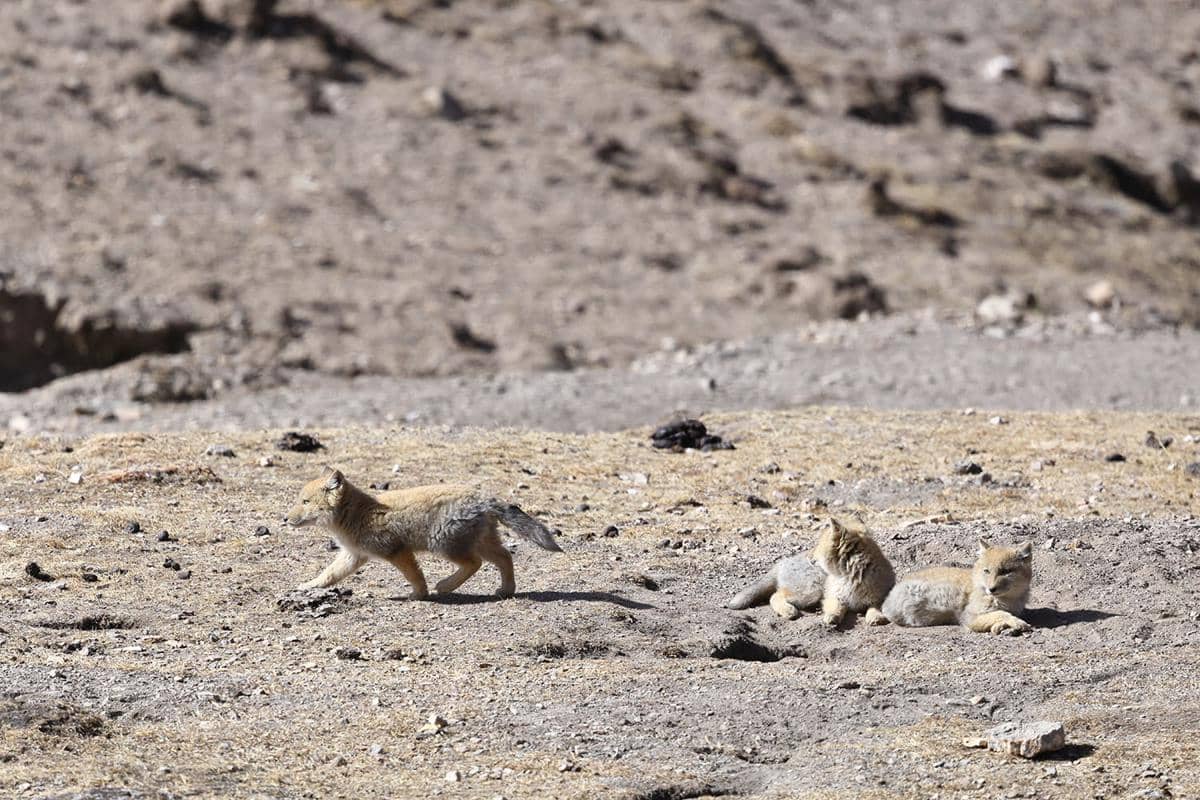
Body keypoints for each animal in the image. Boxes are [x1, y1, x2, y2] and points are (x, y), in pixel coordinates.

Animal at [285, 468, 562, 599]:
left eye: (305, 501)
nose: (285, 519)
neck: (358, 514)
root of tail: (484, 499)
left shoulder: (397, 551)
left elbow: (415, 576)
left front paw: (419, 595)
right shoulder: (353, 556)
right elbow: (329, 575)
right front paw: (308, 586)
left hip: (445, 544)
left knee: (475, 563)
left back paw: (445, 586)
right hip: (480, 543)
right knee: (505, 557)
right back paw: (506, 590)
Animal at [728, 518, 895, 626]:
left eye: (820, 546)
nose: (810, 557)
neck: (849, 577)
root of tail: (782, 562)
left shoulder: (879, 598)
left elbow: (875, 608)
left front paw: (876, 617)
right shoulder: (833, 596)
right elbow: (835, 607)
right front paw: (832, 616)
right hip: (812, 592)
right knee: (775, 595)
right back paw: (789, 610)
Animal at [881, 539, 1033, 635]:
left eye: (1006, 572)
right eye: (987, 571)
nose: (991, 589)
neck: (1008, 601)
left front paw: (1001, 626)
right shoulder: (968, 616)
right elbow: (1000, 614)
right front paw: (1016, 623)